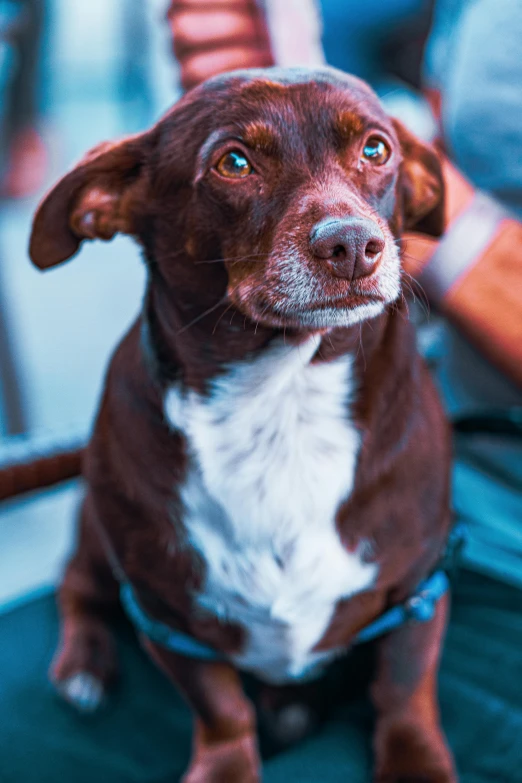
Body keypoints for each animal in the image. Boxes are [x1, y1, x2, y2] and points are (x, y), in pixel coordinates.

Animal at [28, 69, 452, 783]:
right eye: (234, 162)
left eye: (376, 150)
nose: (352, 245)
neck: (284, 406)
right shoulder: (168, 617)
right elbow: (221, 707)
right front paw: (226, 766)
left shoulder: (421, 587)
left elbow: (404, 683)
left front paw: (415, 760)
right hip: (95, 532)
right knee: (76, 583)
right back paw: (83, 665)